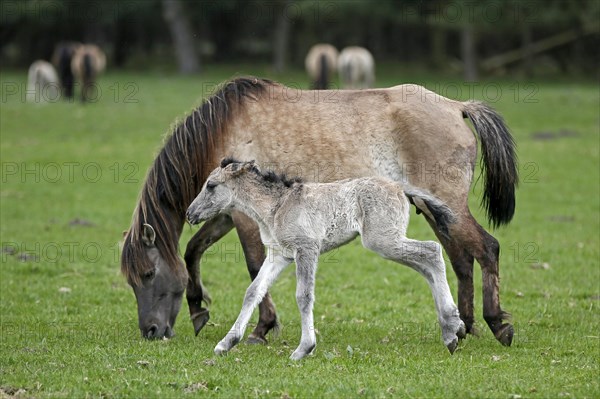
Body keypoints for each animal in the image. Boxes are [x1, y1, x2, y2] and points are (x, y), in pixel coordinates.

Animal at [120, 77, 516, 346]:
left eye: (149, 274)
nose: (150, 331)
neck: (223, 128)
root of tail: (456, 106)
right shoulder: (225, 214)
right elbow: (192, 250)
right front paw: (199, 309)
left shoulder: (245, 220)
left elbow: (254, 267)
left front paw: (261, 328)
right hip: (436, 213)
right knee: (460, 259)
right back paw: (463, 325)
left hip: (449, 209)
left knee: (487, 249)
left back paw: (497, 323)